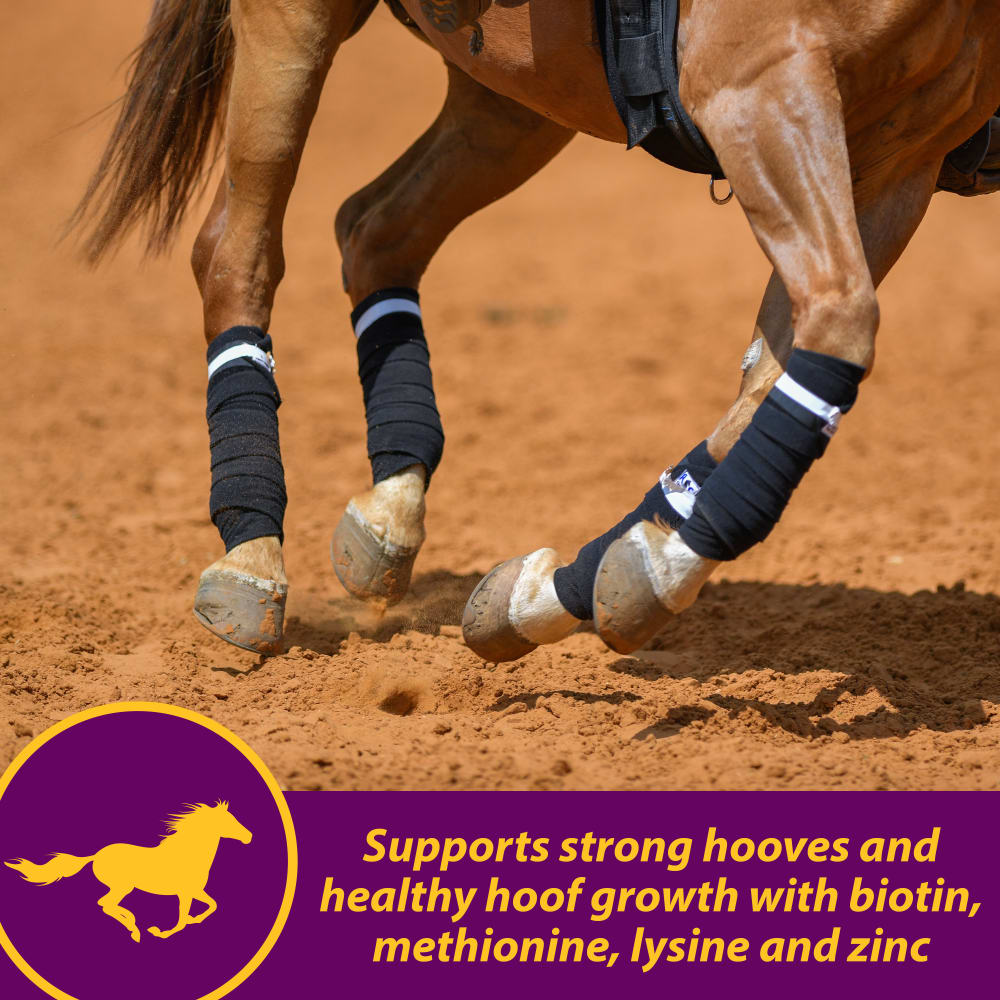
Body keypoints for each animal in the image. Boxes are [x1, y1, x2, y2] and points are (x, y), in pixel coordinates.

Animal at [5, 802, 251, 942]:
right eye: (229, 821)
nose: (249, 836)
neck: (189, 854)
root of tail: (96, 855)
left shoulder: (195, 891)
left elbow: (212, 905)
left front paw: (193, 920)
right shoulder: (184, 893)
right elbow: (181, 919)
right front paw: (160, 932)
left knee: (106, 904)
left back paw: (133, 925)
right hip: (122, 886)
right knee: (106, 904)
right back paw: (134, 928)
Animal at [70, 1, 1000, 659]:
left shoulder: (900, 156)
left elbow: (774, 374)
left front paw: (570, 589)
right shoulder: (759, 85)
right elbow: (836, 328)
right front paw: (629, 575)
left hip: (518, 86)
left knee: (377, 227)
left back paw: (390, 512)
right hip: (300, 26)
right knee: (238, 254)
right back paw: (251, 558)